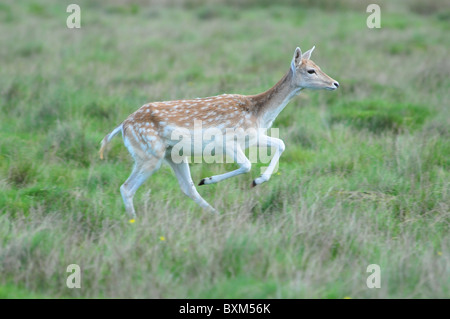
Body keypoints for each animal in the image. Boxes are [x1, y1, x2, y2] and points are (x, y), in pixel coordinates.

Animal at [99, 46, 338, 221]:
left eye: (317, 65)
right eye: (311, 70)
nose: (335, 83)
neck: (259, 113)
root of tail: (122, 126)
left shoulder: (253, 136)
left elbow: (281, 143)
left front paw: (258, 180)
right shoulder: (227, 141)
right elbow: (247, 165)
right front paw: (215, 179)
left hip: (172, 155)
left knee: (187, 187)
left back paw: (214, 212)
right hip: (149, 154)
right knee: (127, 188)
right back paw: (135, 222)